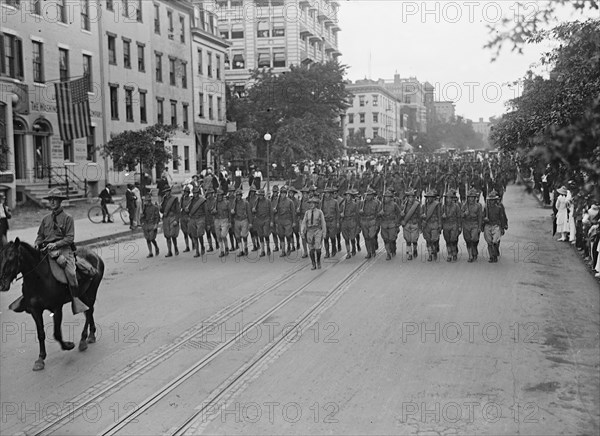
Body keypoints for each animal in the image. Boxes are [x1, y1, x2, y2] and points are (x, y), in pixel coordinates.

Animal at [0, 238, 104, 372]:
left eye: (12, 257)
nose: (2, 284)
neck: (39, 279)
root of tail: (95, 255)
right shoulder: (35, 311)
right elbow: (41, 334)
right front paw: (40, 358)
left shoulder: (56, 308)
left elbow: (57, 333)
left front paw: (68, 345)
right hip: (83, 294)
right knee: (88, 312)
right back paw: (90, 335)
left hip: (91, 292)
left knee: (89, 310)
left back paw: (84, 339)